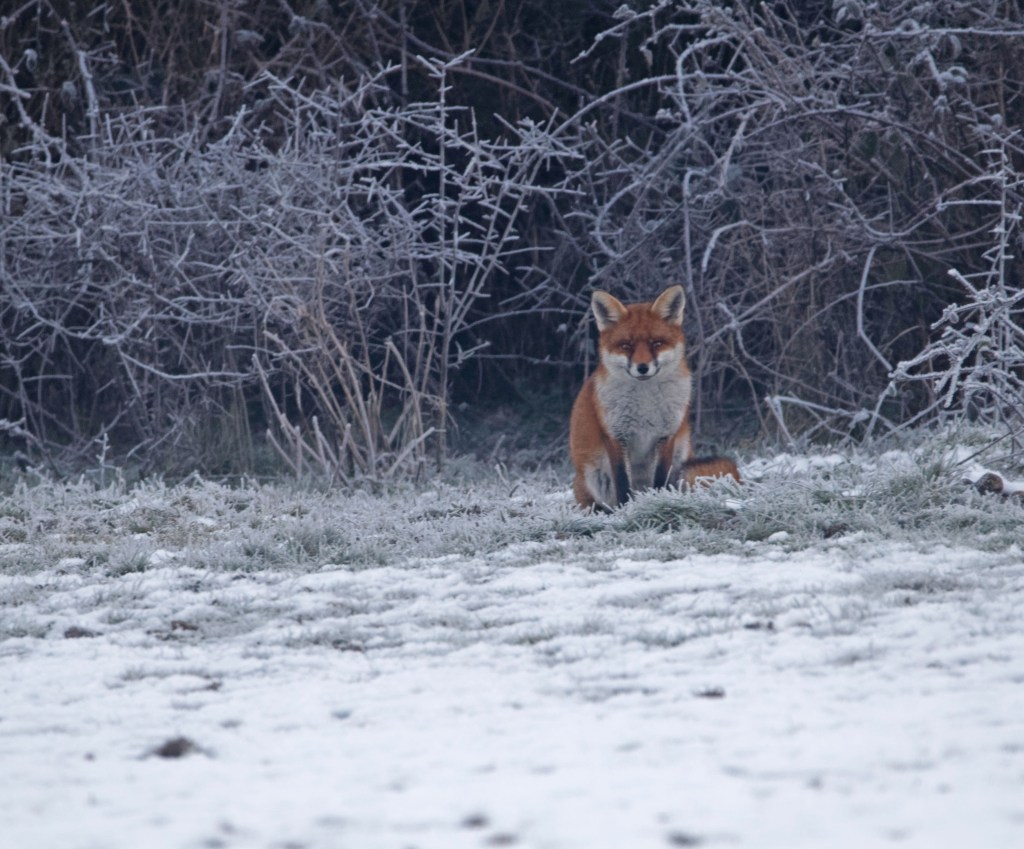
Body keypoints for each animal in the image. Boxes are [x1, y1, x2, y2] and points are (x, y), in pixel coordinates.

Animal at [569, 285, 740, 510]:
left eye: (656, 343)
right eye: (627, 346)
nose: (642, 368)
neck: (645, 404)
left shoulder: (666, 435)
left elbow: (660, 478)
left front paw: (658, 500)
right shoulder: (616, 436)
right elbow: (622, 481)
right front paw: (626, 509)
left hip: (680, 453)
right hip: (594, 478)